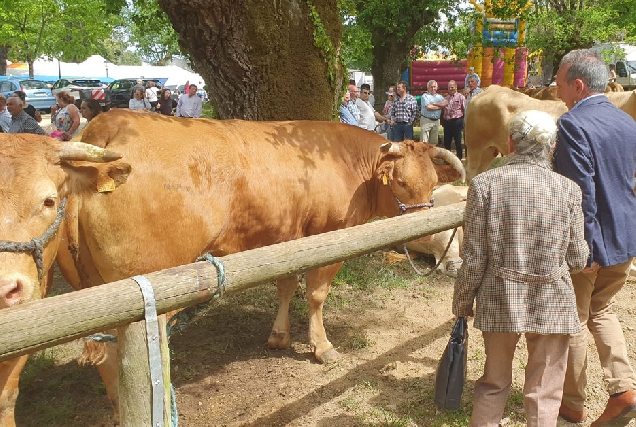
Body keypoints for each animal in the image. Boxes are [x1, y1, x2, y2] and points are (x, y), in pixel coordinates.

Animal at [0, 112, 462, 426]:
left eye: (432, 182)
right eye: (401, 183)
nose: (424, 225)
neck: (347, 164)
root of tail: (108, 124)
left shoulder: (286, 241)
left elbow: (284, 286)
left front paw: (279, 336)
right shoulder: (328, 239)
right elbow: (315, 295)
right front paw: (322, 346)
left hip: (94, 293)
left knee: (108, 360)